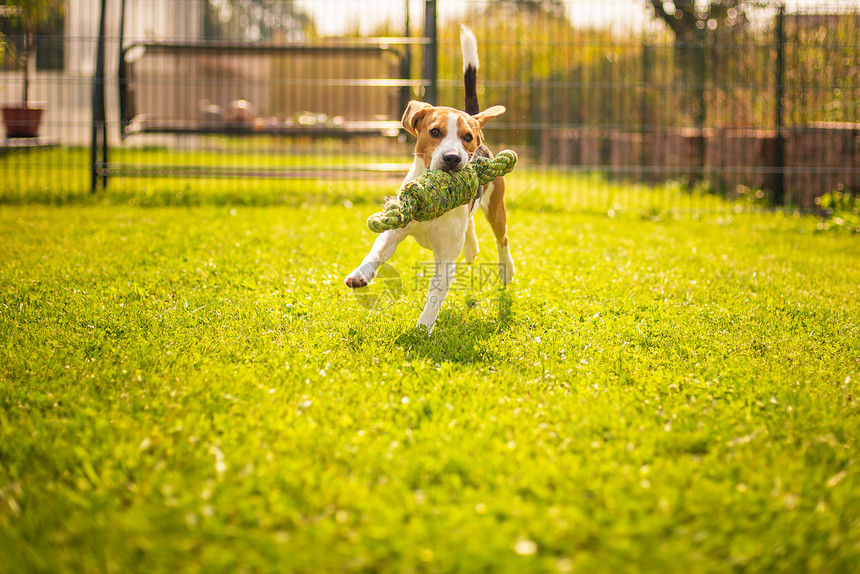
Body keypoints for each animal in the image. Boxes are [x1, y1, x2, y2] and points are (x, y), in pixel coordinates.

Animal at [346, 25, 512, 332]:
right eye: (435, 132)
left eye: (466, 137)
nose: (453, 158)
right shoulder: (395, 230)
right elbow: (376, 251)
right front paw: (361, 274)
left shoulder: (445, 260)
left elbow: (434, 296)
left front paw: (422, 330)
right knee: (472, 230)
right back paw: (472, 248)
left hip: (496, 207)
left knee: (502, 238)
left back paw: (507, 269)